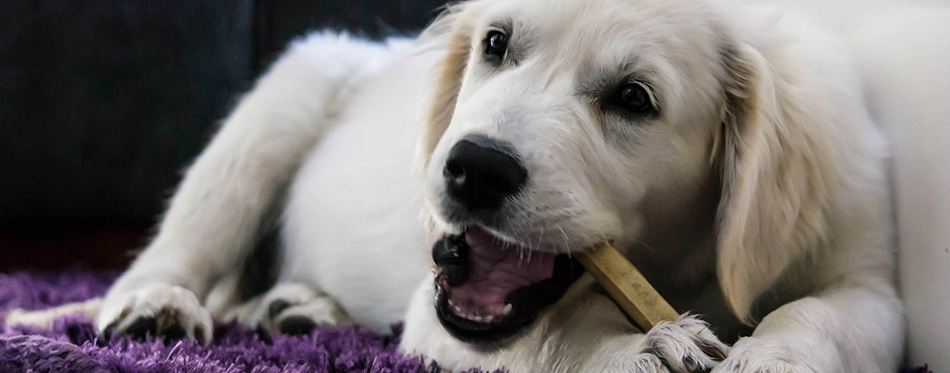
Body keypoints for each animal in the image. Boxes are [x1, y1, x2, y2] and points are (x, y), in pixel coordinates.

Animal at [26, 0, 908, 370]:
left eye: (634, 98)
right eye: (495, 43)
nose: (472, 165)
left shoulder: (866, 276)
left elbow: (817, 313)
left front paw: (773, 358)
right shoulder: (441, 309)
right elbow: (562, 335)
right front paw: (641, 347)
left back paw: (299, 308)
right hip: (283, 99)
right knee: (176, 250)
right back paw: (157, 307)